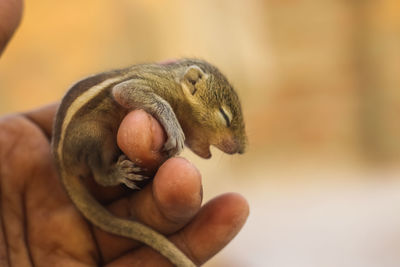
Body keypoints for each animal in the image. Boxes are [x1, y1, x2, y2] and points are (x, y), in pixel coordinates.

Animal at [51, 59, 247, 267]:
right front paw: (173, 126)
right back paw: (117, 174)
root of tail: (62, 163)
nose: (242, 149)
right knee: (99, 175)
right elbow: (127, 91)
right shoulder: (149, 85)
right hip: (94, 137)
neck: (176, 81)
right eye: (225, 117)